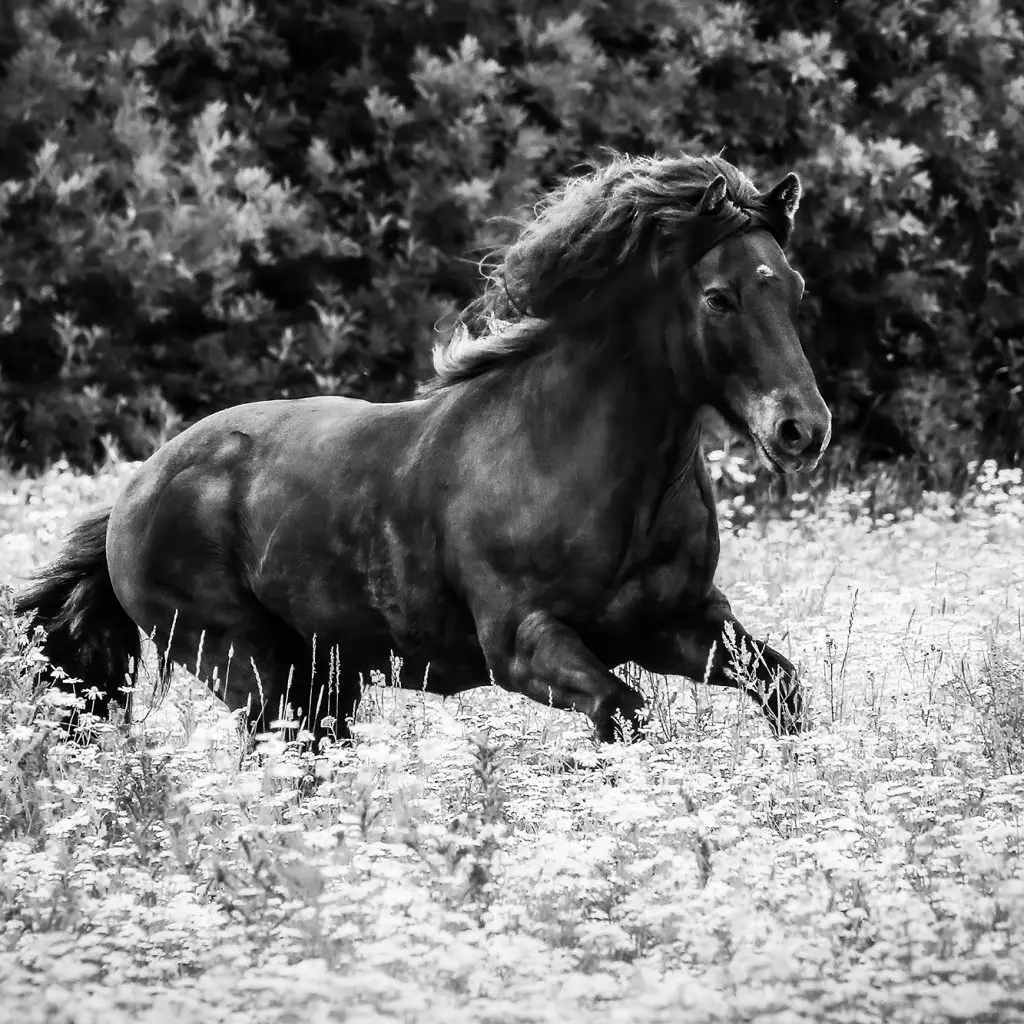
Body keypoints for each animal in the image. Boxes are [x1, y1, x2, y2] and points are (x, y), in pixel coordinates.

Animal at [16, 152, 831, 745]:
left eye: (793, 289)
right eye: (718, 297)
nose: (803, 430)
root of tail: (134, 493)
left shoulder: (685, 623)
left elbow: (782, 687)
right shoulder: (523, 644)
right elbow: (625, 714)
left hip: (325, 677)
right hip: (245, 663)